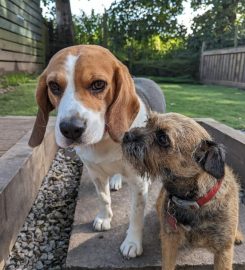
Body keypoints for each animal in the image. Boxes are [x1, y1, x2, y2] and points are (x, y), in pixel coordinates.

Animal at [29, 45, 166, 258]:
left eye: (98, 84)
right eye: (54, 86)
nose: (71, 129)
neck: (105, 140)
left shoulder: (137, 184)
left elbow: (136, 215)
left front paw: (132, 242)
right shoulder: (95, 174)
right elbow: (103, 198)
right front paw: (104, 218)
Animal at [121, 112, 242, 270]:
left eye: (162, 138)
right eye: (148, 122)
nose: (126, 135)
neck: (193, 201)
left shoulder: (224, 252)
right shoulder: (170, 244)